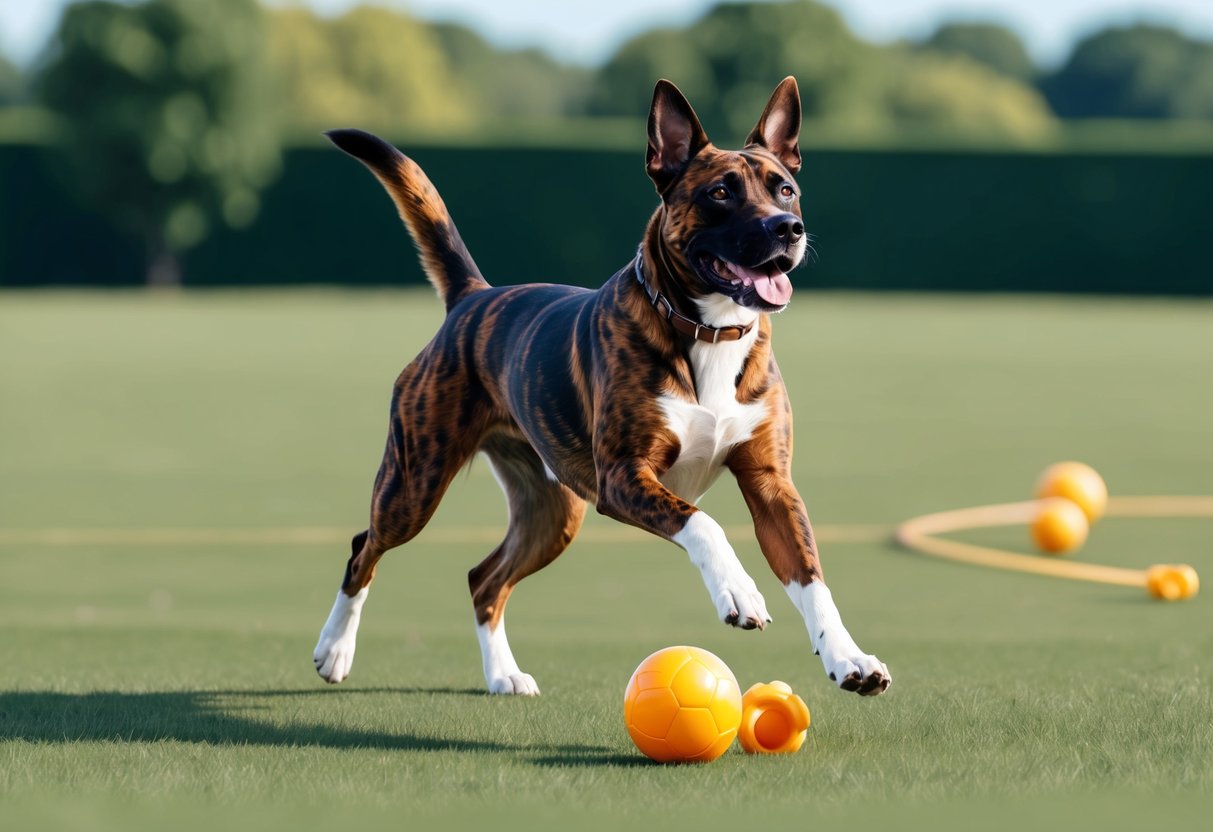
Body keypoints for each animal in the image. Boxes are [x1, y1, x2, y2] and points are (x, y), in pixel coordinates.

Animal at [310, 80, 892, 698]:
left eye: (786, 189)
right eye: (719, 192)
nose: (786, 228)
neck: (709, 331)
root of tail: (473, 297)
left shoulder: (771, 485)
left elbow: (813, 580)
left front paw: (850, 659)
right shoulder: (624, 477)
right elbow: (703, 523)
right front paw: (739, 592)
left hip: (551, 510)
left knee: (483, 578)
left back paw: (503, 673)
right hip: (414, 479)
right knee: (365, 549)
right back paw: (334, 650)